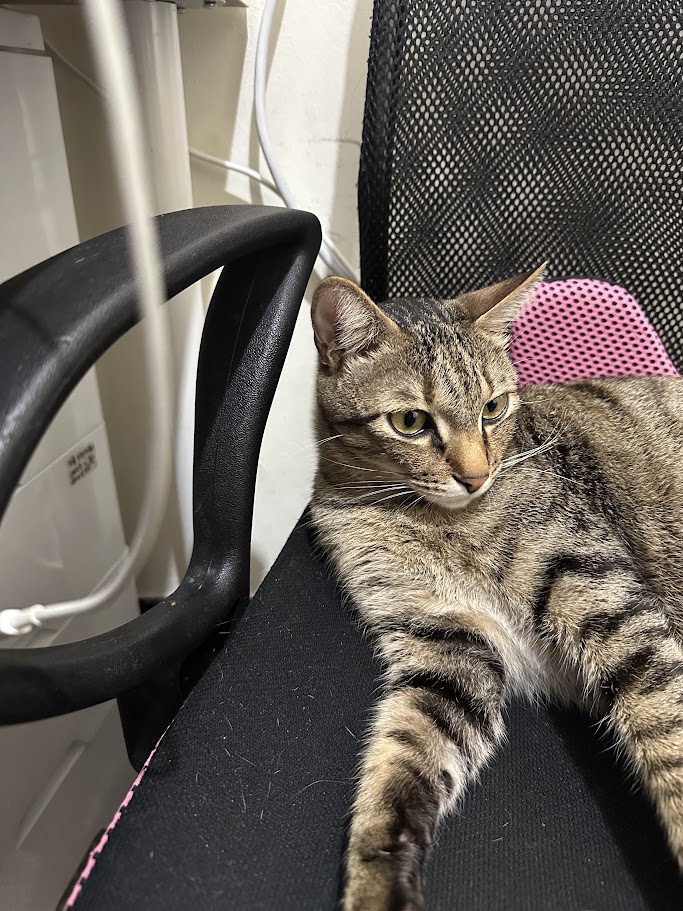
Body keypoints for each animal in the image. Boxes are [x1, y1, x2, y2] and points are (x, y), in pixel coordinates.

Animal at [310, 270, 683, 911]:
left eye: (494, 408)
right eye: (410, 423)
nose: (475, 476)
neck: (433, 522)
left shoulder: (605, 598)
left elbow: (668, 729)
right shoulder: (447, 646)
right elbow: (399, 770)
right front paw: (377, 883)